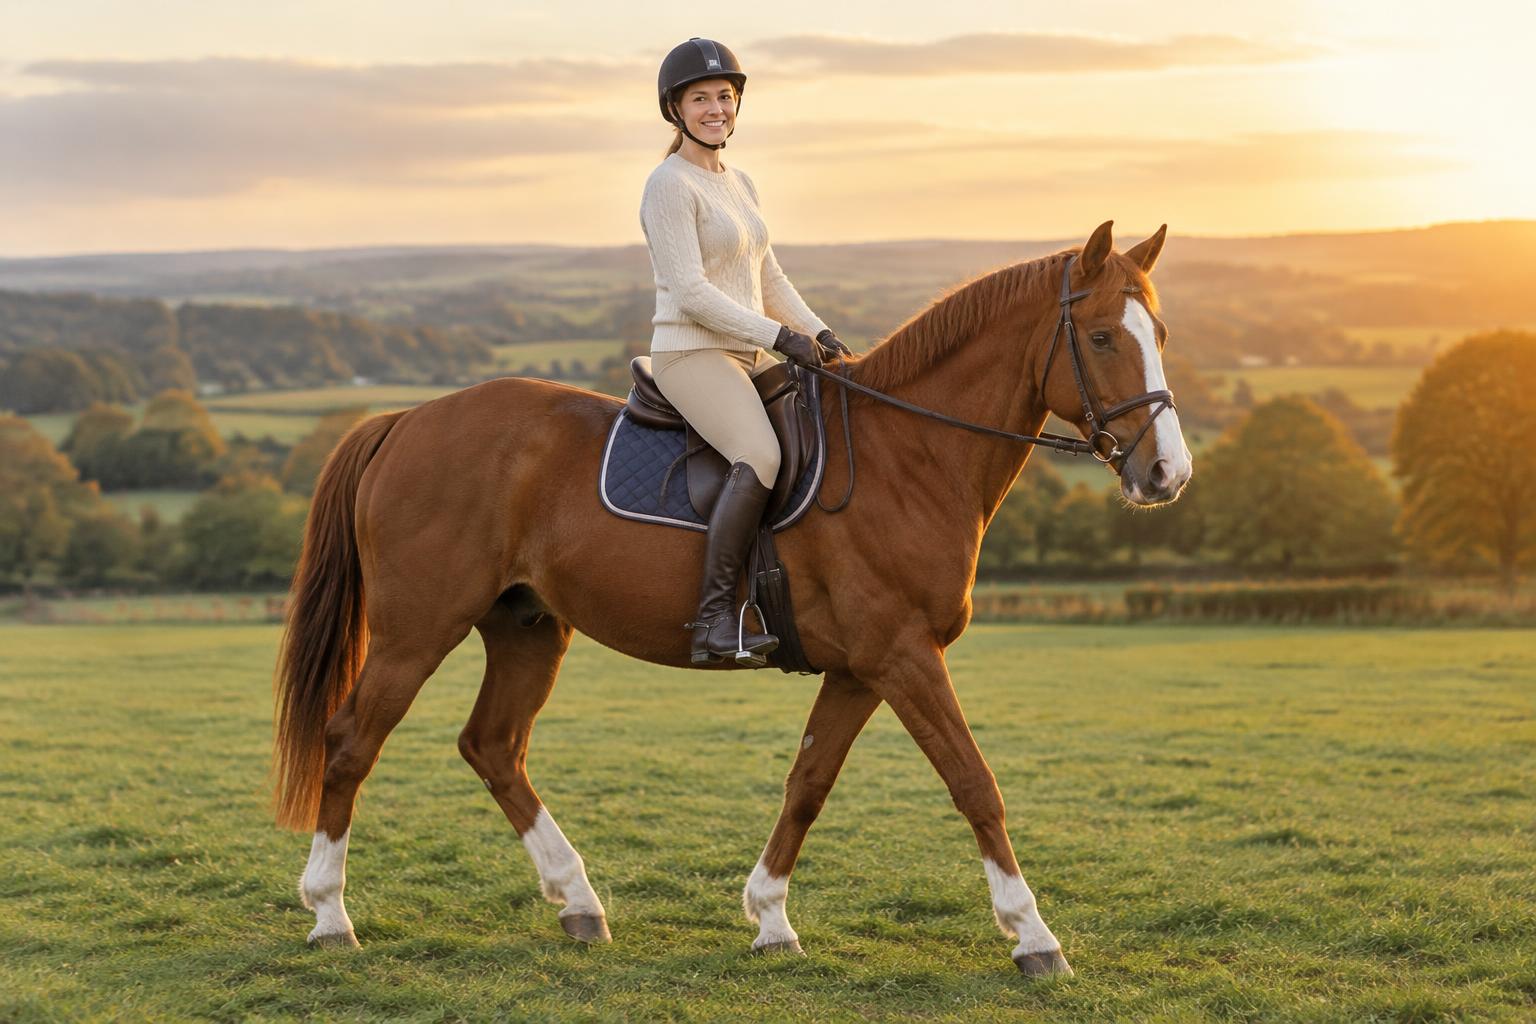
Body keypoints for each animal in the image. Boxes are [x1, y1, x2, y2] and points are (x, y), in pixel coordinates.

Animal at [272, 220, 1192, 976]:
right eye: (1102, 336)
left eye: (1160, 334)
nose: (1166, 474)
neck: (909, 455)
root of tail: (406, 419)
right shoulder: (903, 655)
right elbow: (975, 783)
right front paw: (1034, 937)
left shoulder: (861, 667)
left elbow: (809, 782)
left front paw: (771, 919)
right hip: (415, 629)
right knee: (350, 741)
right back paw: (330, 917)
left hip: (527, 625)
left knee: (493, 746)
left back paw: (579, 904)